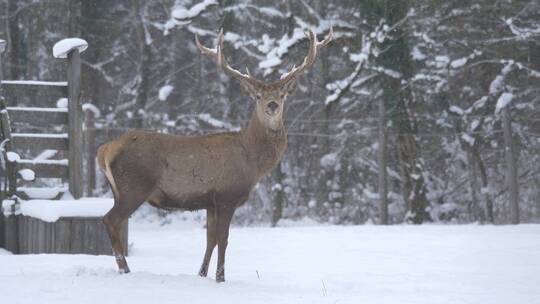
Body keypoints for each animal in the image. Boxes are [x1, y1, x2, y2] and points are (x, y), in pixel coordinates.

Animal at [98, 27, 334, 282]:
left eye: (282, 95)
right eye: (258, 96)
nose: (272, 105)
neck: (252, 161)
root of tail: (106, 149)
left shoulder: (209, 203)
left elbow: (210, 239)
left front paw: (202, 274)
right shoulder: (226, 196)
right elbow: (224, 239)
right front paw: (221, 277)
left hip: (119, 190)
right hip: (134, 186)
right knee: (110, 219)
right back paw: (125, 269)